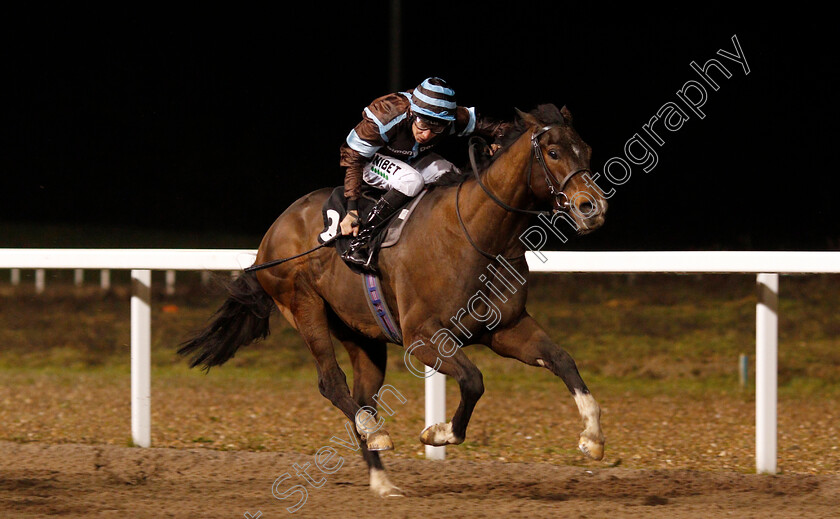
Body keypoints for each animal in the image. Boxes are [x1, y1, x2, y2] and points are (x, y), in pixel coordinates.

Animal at [180, 103, 608, 498]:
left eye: (586, 150)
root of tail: (271, 236)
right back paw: (375, 433)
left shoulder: (506, 328)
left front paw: (592, 438)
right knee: (331, 382)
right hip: (303, 306)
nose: (593, 207)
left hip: (361, 334)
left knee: (363, 396)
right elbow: (473, 380)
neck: (477, 234)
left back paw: (382, 479)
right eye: (553, 152)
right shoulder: (422, 337)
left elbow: (562, 360)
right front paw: (438, 433)